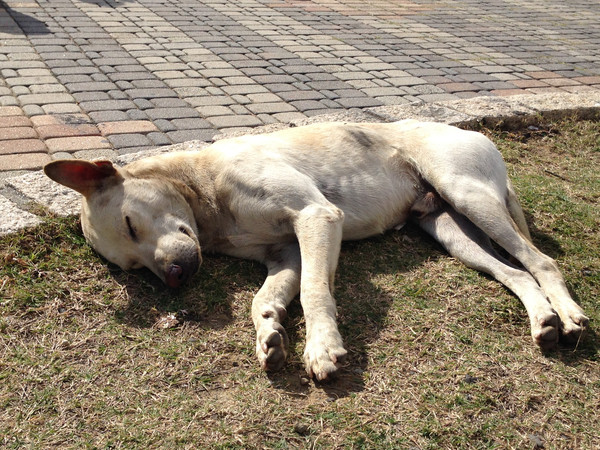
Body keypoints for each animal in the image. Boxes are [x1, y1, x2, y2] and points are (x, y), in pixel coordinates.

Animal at [44, 119, 588, 380]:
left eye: (131, 224)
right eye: (134, 268)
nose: (176, 278)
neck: (206, 193)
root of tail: (471, 132)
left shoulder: (317, 217)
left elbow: (313, 292)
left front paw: (322, 348)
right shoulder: (285, 252)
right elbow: (263, 299)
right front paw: (269, 335)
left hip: (468, 193)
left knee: (540, 260)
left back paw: (569, 314)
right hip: (448, 227)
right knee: (514, 272)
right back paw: (543, 320)